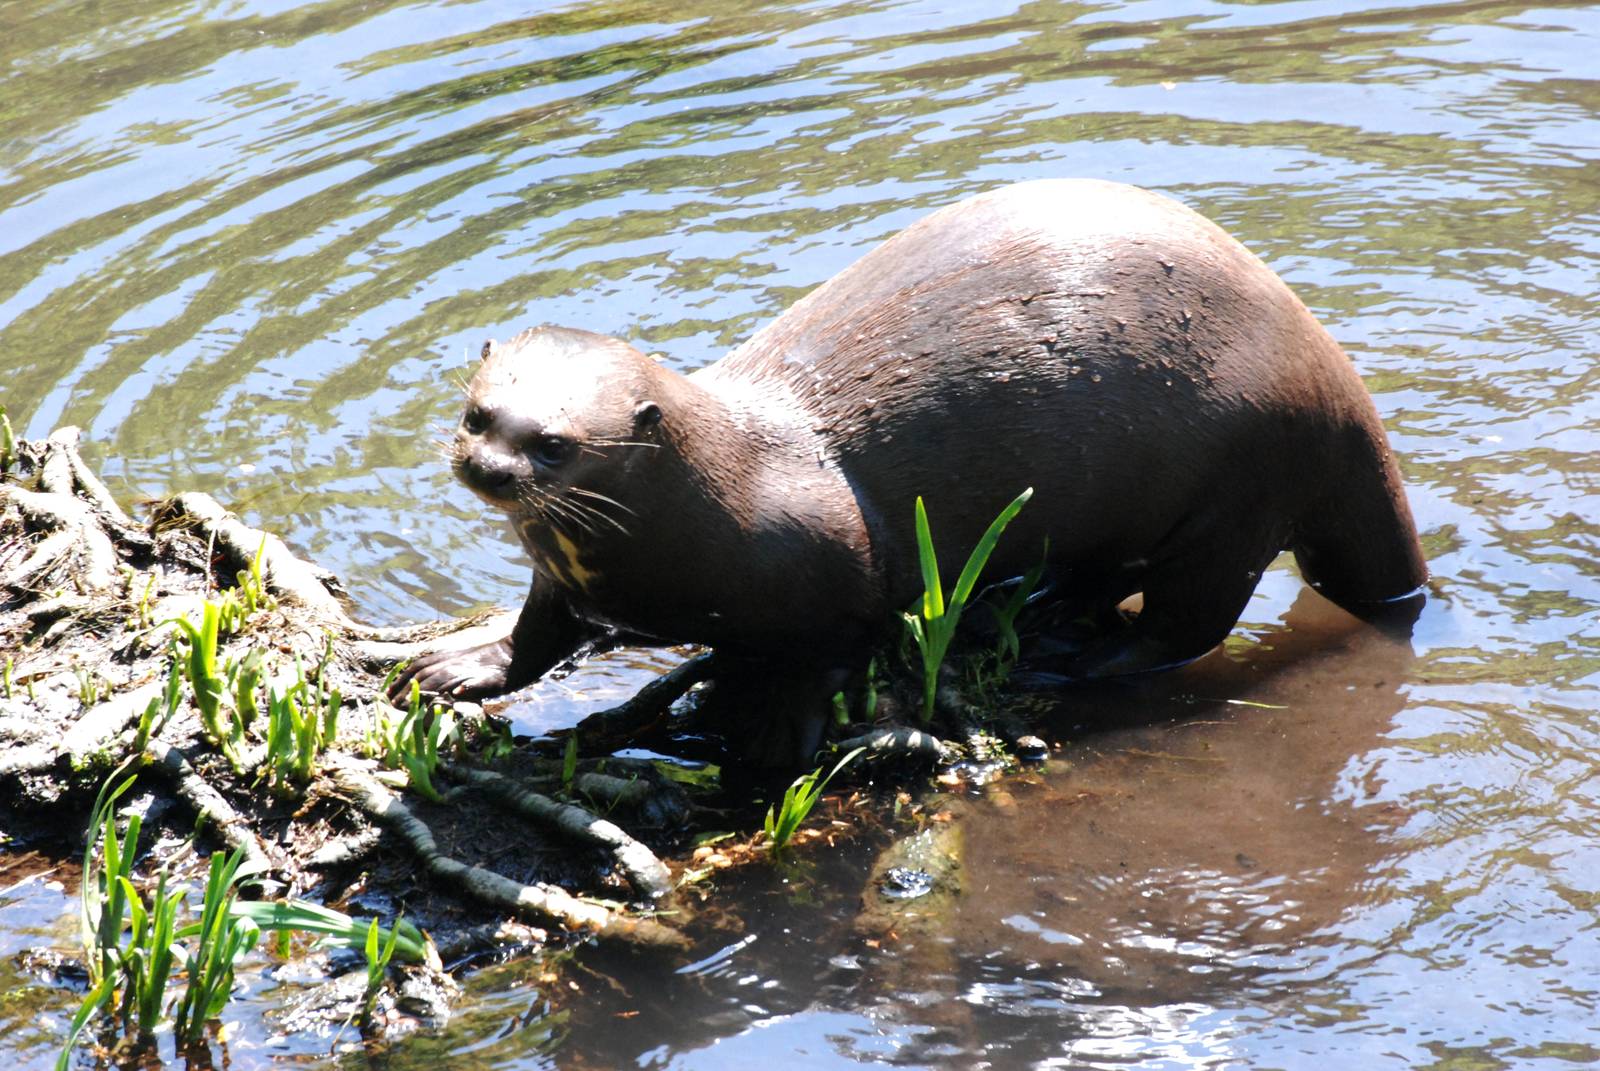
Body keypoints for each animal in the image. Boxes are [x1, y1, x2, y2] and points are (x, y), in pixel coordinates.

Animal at [391, 179, 1426, 708]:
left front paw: (764, 739)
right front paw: (461, 663)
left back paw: (1080, 660)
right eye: (478, 412)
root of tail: (1342, 391)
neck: (724, 496)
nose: (487, 468)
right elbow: (538, 634)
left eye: (554, 443)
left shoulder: (829, 565)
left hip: (1243, 480)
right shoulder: (563, 580)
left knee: (1190, 621)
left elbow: (822, 657)